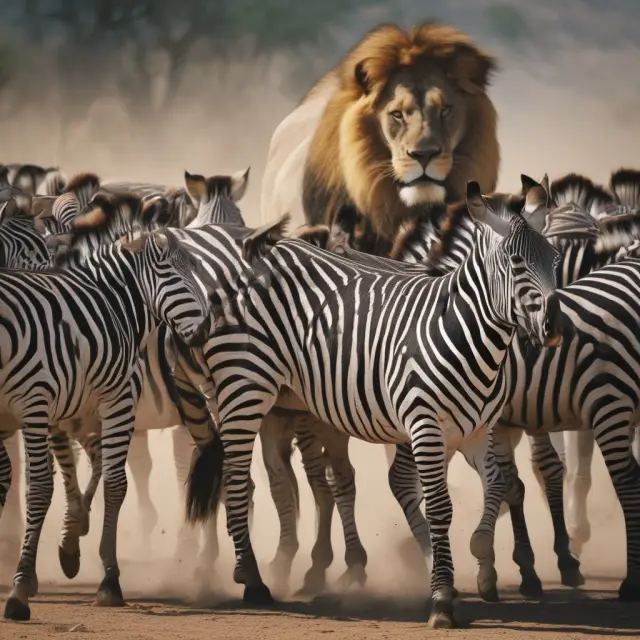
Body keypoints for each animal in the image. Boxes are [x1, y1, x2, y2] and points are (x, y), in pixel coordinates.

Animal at [0, 190, 212, 621]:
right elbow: (60, 480)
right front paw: (60, 553)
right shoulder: (55, 407)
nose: (204, 331)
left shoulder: (93, 403)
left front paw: (100, 574)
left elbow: (104, 480)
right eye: (175, 276)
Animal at [179, 181, 562, 629]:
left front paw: (482, 559)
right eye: (517, 262)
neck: (463, 333)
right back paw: (253, 580)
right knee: (236, 477)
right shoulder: (424, 427)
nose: (555, 326)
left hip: (274, 403)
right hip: (242, 386)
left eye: (555, 260)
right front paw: (442, 597)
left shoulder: (477, 431)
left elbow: (497, 485)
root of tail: (253, 258)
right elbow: (438, 506)